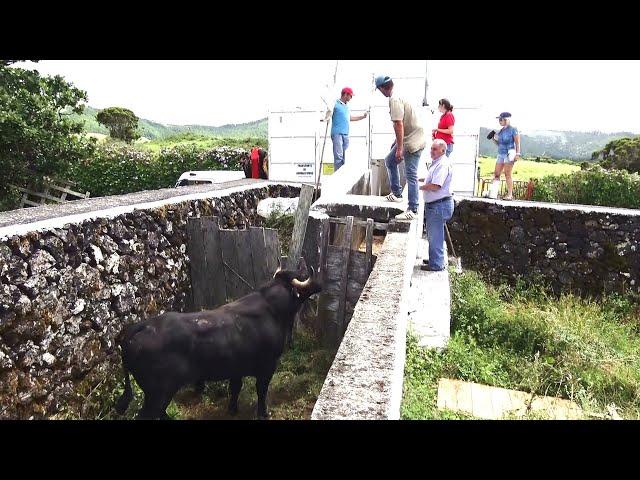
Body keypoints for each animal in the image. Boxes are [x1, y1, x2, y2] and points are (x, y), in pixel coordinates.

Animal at [114, 264, 322, 418]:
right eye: (303, 274)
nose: (320, 284)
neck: (271, 309)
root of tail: (140, 327)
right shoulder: (267, 366)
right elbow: (261, 391)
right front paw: (264, 414)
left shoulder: (236, 368)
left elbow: (235, 388)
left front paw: (233, 410)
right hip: (158, 393)